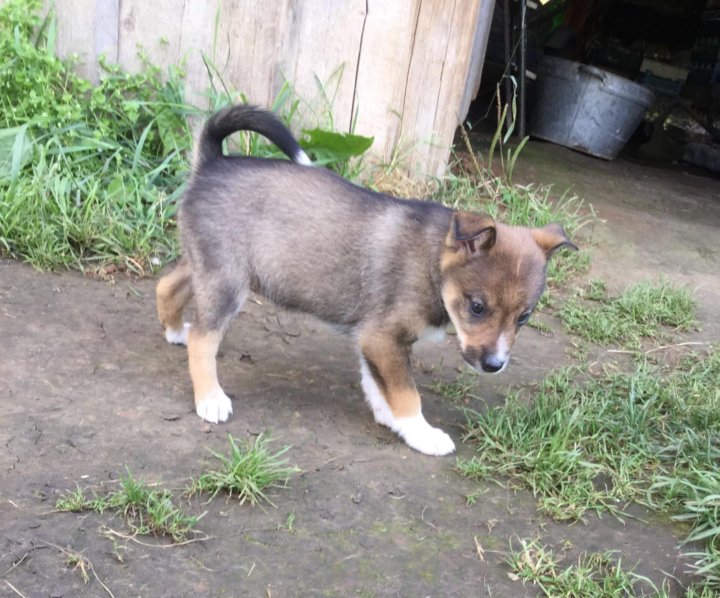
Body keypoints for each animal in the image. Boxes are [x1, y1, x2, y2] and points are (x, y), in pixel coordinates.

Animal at [155, 105, 576, 458]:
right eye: (477, 307)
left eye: (524, 317)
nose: (494, 366)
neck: (433, 263)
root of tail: (212, 163)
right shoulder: (383, 338)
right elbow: (406, 393)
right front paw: (422, 433)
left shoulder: (373, 339)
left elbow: (379, 386)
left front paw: (394, 421)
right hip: (227, 281)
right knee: (204, 338)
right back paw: (210, 398)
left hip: (208, 265)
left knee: (167, 285)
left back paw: (175, 331)